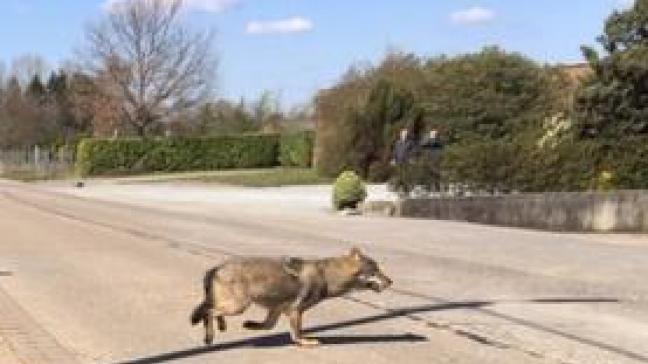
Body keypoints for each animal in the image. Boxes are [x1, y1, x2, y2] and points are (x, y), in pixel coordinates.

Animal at [190, 247, 392, 346]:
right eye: (376, 271)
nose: (391, 282)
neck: (327, 276)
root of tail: (216, 268)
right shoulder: (296, 311)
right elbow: (297, 334)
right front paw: (305, 342)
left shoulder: (278, 310)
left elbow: (267, 326)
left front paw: (251, 325)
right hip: (238, 306)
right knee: (209, 311)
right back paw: (210, 336)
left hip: (235, 306)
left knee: (212, 311)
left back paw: (220, 326)